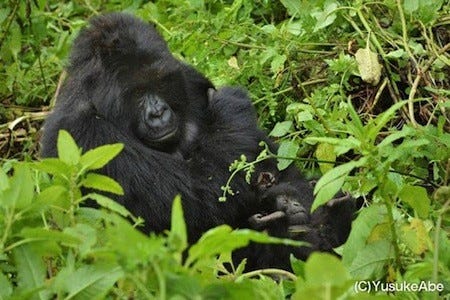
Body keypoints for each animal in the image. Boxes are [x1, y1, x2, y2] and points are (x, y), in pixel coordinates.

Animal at [40, 12, 354, 270]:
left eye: (161, 83)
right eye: (137, 93)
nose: (158, 113)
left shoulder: (187, 75)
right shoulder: (84, 135)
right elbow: (193, 199)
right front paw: (230, 104)